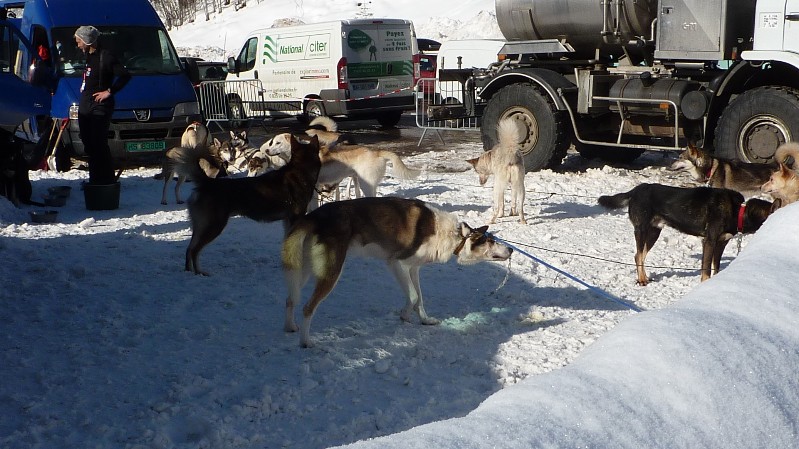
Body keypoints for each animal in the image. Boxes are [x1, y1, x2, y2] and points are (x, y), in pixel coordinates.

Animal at [179, 134, 321, 275]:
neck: (301, 169)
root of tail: (207, 183)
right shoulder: (295, 218)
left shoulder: (287, 221)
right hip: (213, 226)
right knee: (194, 251)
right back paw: (199, 273)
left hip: (200, 227)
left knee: (189, 249)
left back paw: (188, 271)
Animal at [281, 196, 513, 347]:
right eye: (491, 241)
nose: (510, 249)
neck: (454, 234)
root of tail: (314, 216)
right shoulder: (397, 263)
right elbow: (413, 296)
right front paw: (405, 315)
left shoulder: (413, 268)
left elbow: (419, 298)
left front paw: (424, 320)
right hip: (331, 271)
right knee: (308, 307)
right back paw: (306, 341)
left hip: (305, 270)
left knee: (291, 299)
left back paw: (291, 327)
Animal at [598, 183, 779, 285]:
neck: (738, 211)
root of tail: (635, 191)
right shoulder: (710, 241)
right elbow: (706, 269)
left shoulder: (721, 243)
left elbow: (716, 267)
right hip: (642, 229)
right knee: (638, 256)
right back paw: (642, 280)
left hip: (654, 233)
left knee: (640, 255)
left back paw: (645, 278)